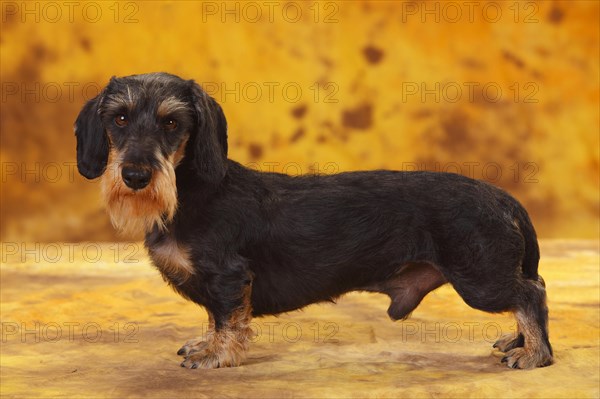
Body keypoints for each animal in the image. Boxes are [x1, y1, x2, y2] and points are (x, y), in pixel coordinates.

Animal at [74, 72, 552, 368]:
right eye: (119, 118)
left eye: (172, 122)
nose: (135, 177)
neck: (191, 194)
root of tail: (502, 197)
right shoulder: (216, 286)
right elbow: (214, 317)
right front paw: (206, 343)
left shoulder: (229, 277)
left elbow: (228, 318)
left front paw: (218, 355)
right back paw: (519, 340)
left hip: (479, 279)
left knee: (531, 293)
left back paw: (533, 353)